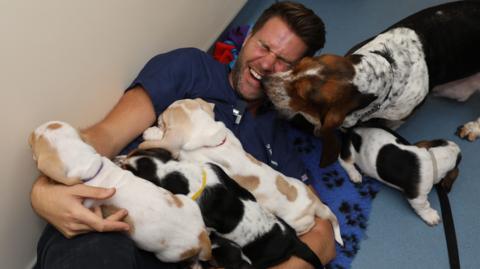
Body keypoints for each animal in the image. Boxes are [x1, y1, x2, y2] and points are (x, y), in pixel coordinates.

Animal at [28, 121, 211, 266]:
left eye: (34, 140)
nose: (31, 132)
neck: (91, 168)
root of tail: (201, 234)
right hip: (185, 201)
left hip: (167, 255)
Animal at [137, 98, 344, 245]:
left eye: (162, 122)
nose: (157, 118)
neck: (210, 135)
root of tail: (315, 203)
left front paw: (151, 133)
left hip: (298, 222)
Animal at [260, 1, 480, 165]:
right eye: (298, 64)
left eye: (302, 94)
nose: (264, 80)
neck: (388, 66)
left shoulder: (401, 116)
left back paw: (473, 128)